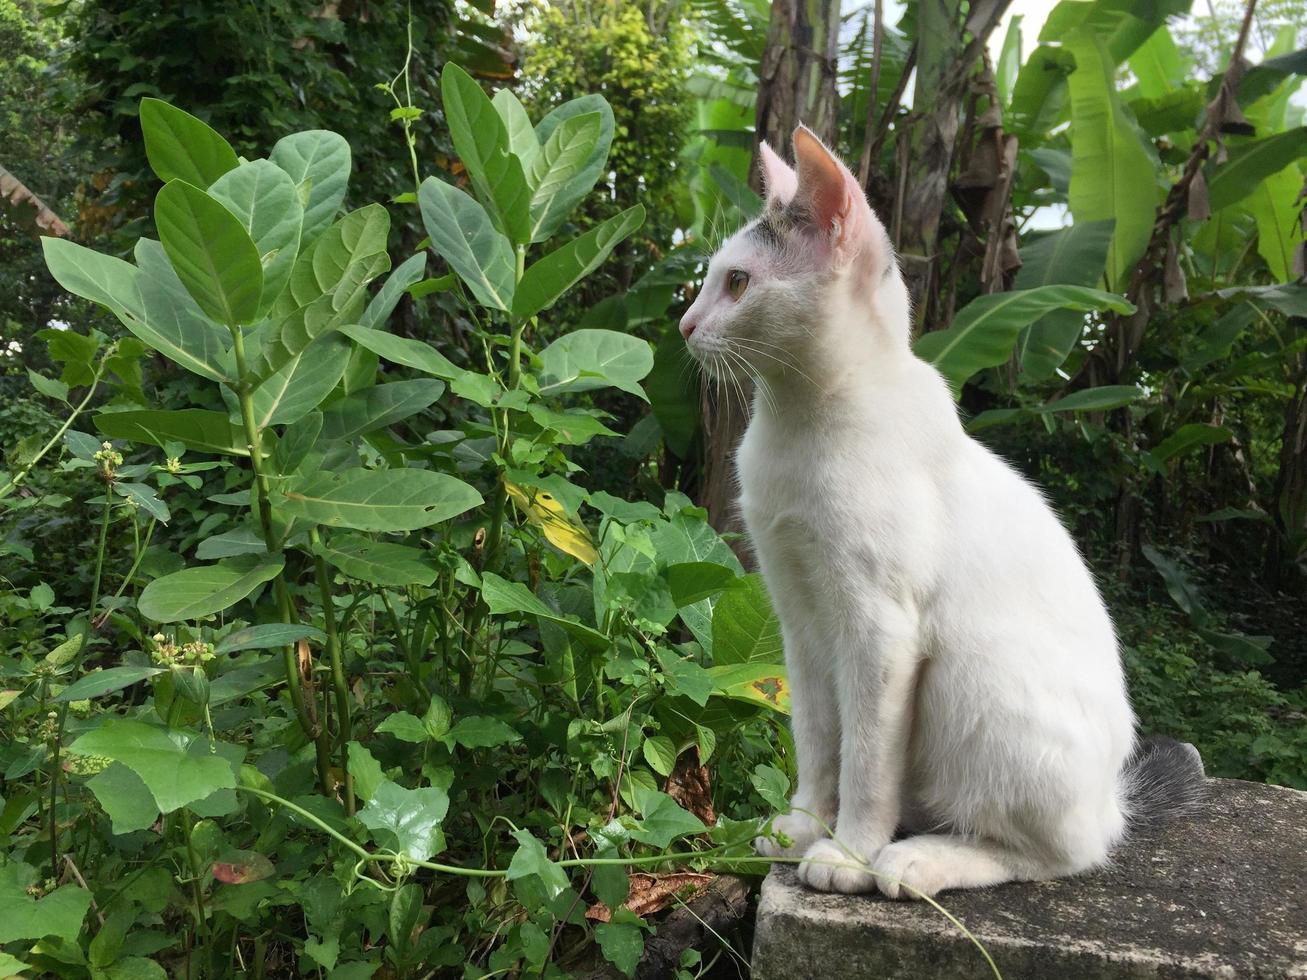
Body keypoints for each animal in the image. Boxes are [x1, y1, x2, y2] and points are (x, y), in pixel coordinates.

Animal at [684, 126, 1202, 904]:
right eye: (712, 277)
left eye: (738, 282)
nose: (684, 324)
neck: (793, 426)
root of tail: (1113, 797)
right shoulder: (799, 619)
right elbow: (817, 739)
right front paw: (802, 826)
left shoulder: (879, 629)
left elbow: (866, 759)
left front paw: (847, 854)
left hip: (973, 673)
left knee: (1062, 853)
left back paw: (915, 861)